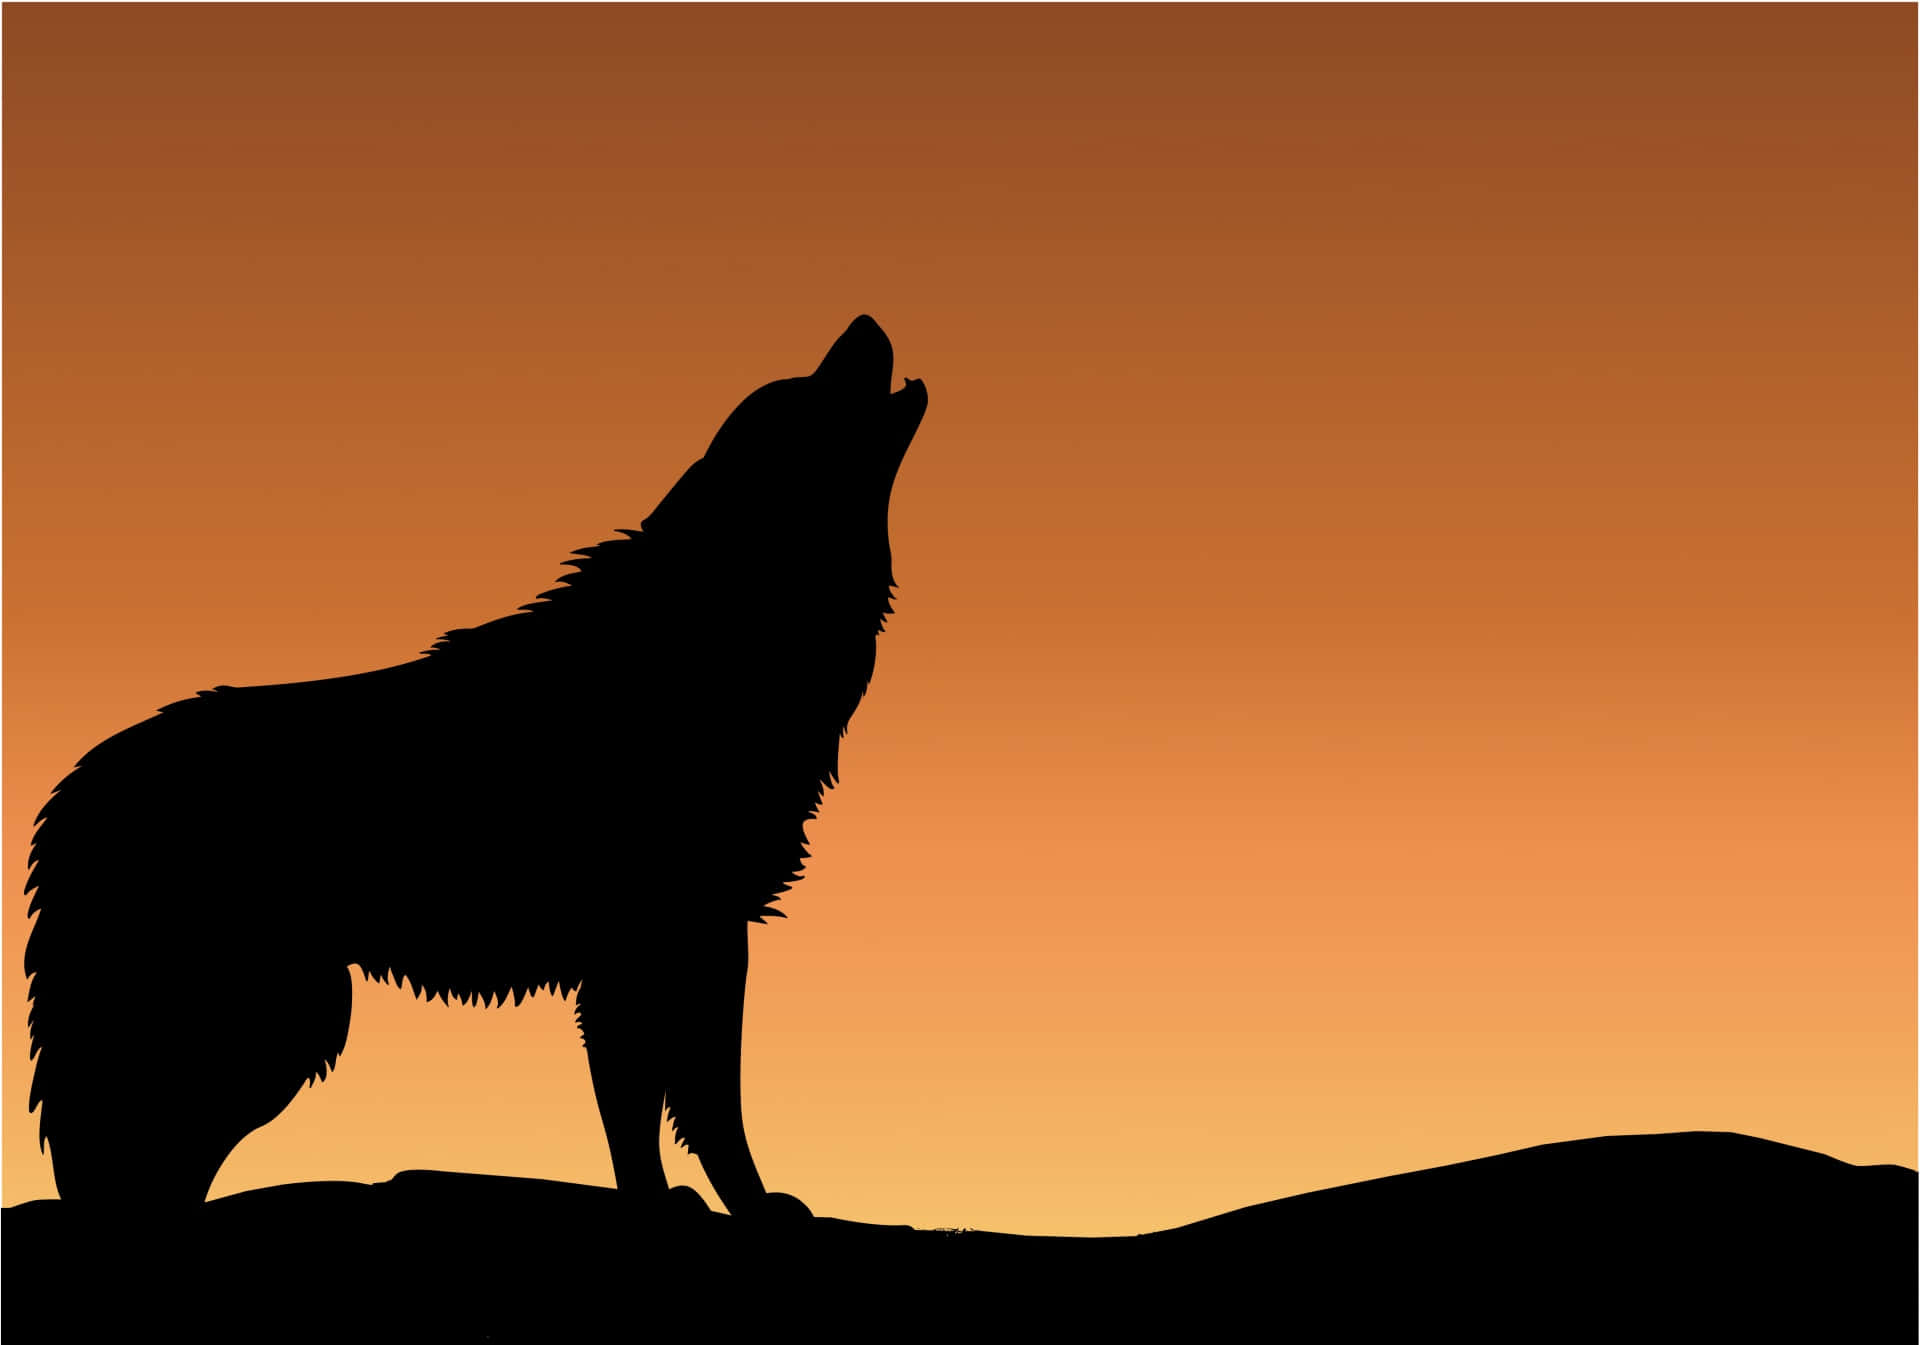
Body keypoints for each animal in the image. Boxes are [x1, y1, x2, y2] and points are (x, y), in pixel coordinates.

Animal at [23, 315, 928, 1219]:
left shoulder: (659, 947)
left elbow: (646, 1102)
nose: (866, 321)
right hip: (275, 1022)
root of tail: (72, 790)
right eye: (803, 390)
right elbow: (695, 1101)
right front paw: (724, 1202)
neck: (713, 632)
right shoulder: (671, 936)